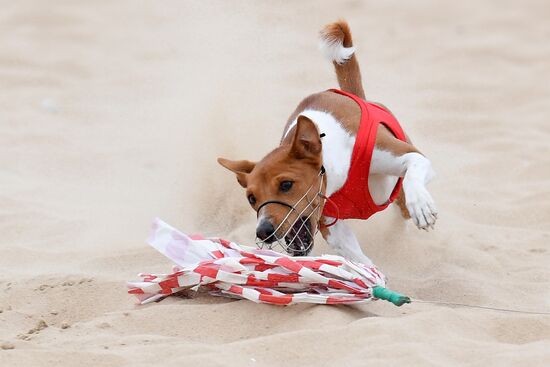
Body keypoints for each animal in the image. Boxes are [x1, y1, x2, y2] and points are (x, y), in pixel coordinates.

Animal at [218, 20, 438, 266]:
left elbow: (415, 171)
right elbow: (356, 256)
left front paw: (421, 205)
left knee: (403, 210)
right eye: (251, 198)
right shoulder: (328, 222)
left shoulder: (410, 156)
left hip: (396, 192)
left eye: (286, 184)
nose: (263, 231)